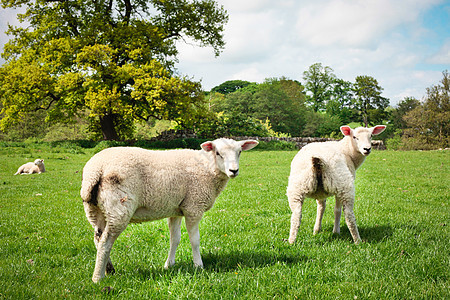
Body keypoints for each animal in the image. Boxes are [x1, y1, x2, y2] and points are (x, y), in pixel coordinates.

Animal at [79, 138, 258, 284]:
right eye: (218, 153)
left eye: (240, 152)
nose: (234, 171)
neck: (207, 167)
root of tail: (94, 171)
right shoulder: (194, 206)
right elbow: (195, 240)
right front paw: (198, 265)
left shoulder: (176, 210)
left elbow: (175, 239)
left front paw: (168, 265)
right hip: (119, 207)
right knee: (105, 242)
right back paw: (98, 278)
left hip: (96, 209)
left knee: (98, 238)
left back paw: (109, 269)